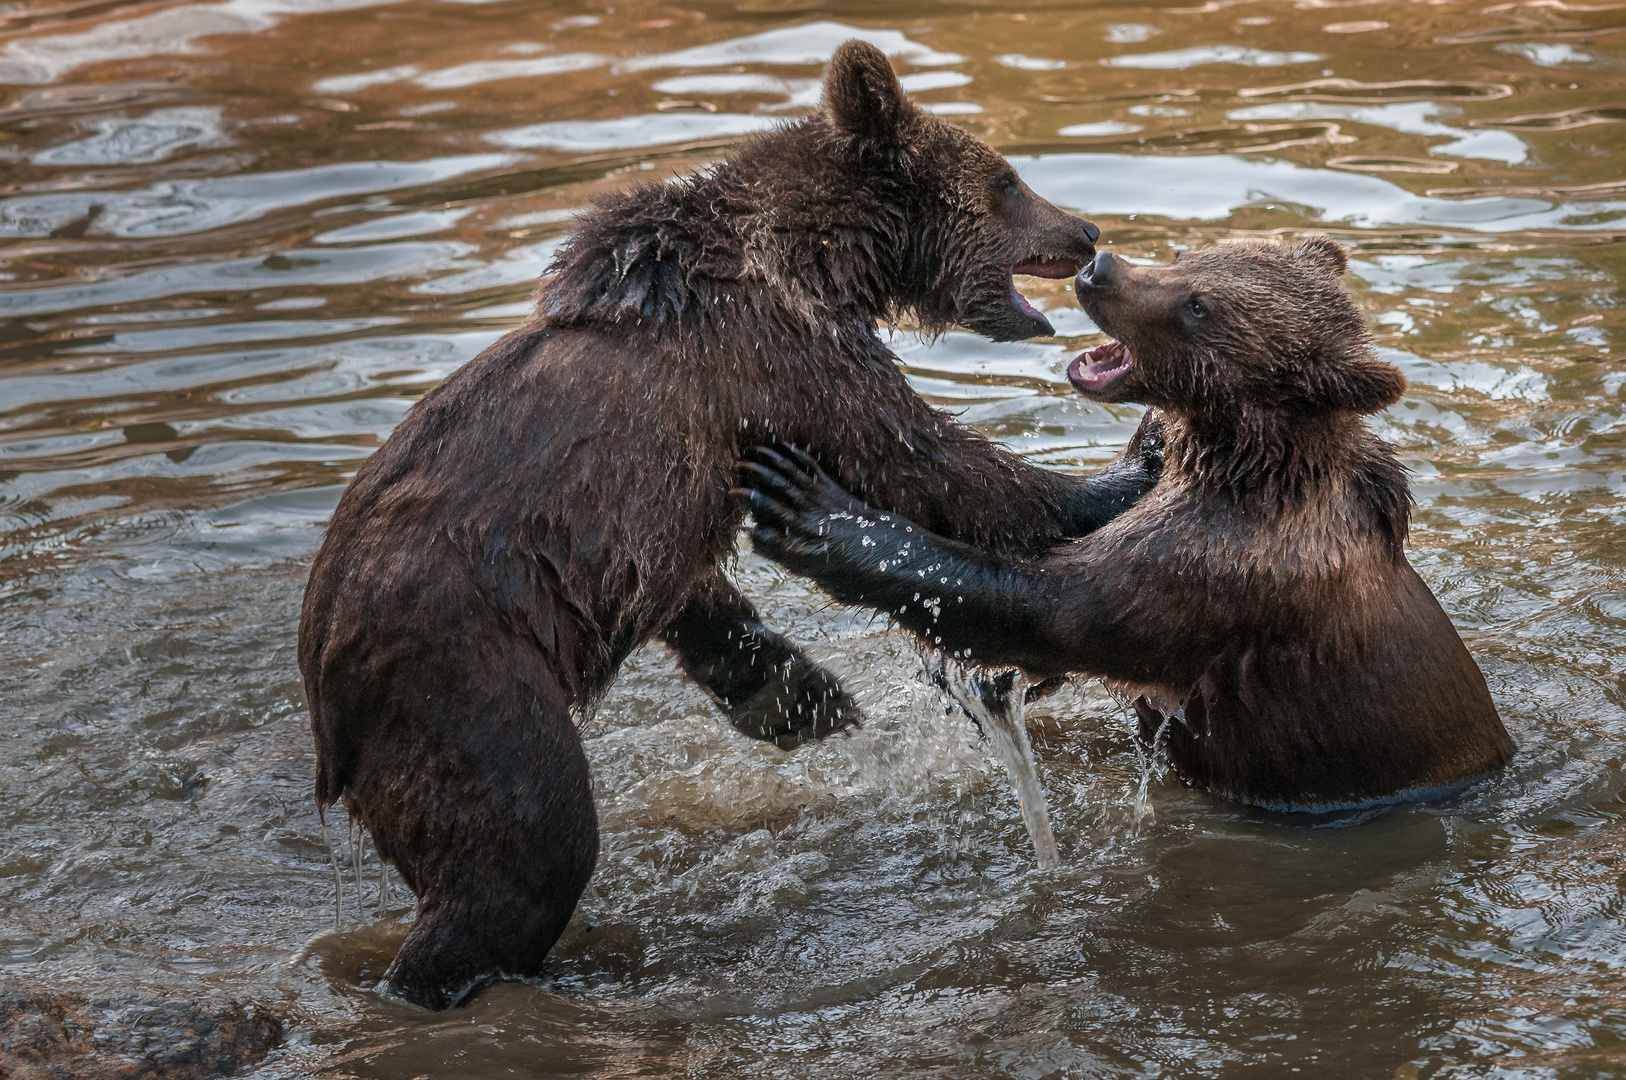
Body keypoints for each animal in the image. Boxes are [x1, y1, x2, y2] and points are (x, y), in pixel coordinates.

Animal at [299, 38, 1164, 1008]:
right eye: (1008, 179)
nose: (1086, 230)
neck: (826, 263)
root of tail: (324, 694)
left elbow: (701, 598)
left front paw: (799, 695)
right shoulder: (784, 357)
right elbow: (926, 460)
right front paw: (1118, 475)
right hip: (459, 673)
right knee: (527, 843)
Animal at [744, 234, 1515, 810]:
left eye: (1200, 306)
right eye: (1188, 255)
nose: (1100, 266)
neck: (1245, 459)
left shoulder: (1223, 563)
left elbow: (1056, 606)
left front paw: (811, 507)